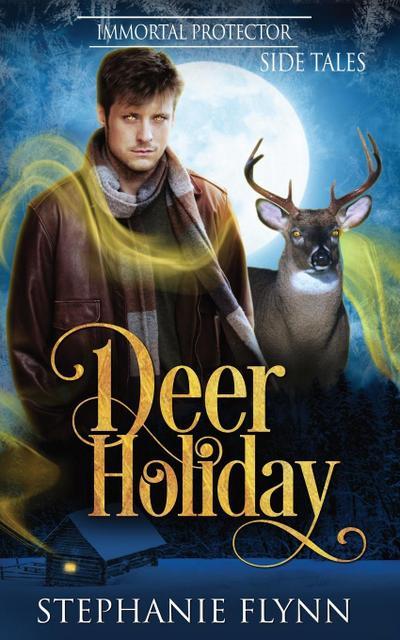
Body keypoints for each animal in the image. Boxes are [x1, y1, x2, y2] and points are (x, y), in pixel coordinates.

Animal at [246, 130, 382, 391]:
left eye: (335, 231)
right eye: (296, 233)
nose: (321, 256)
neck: (308, 344)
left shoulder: (334, 370)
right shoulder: (280, 372)